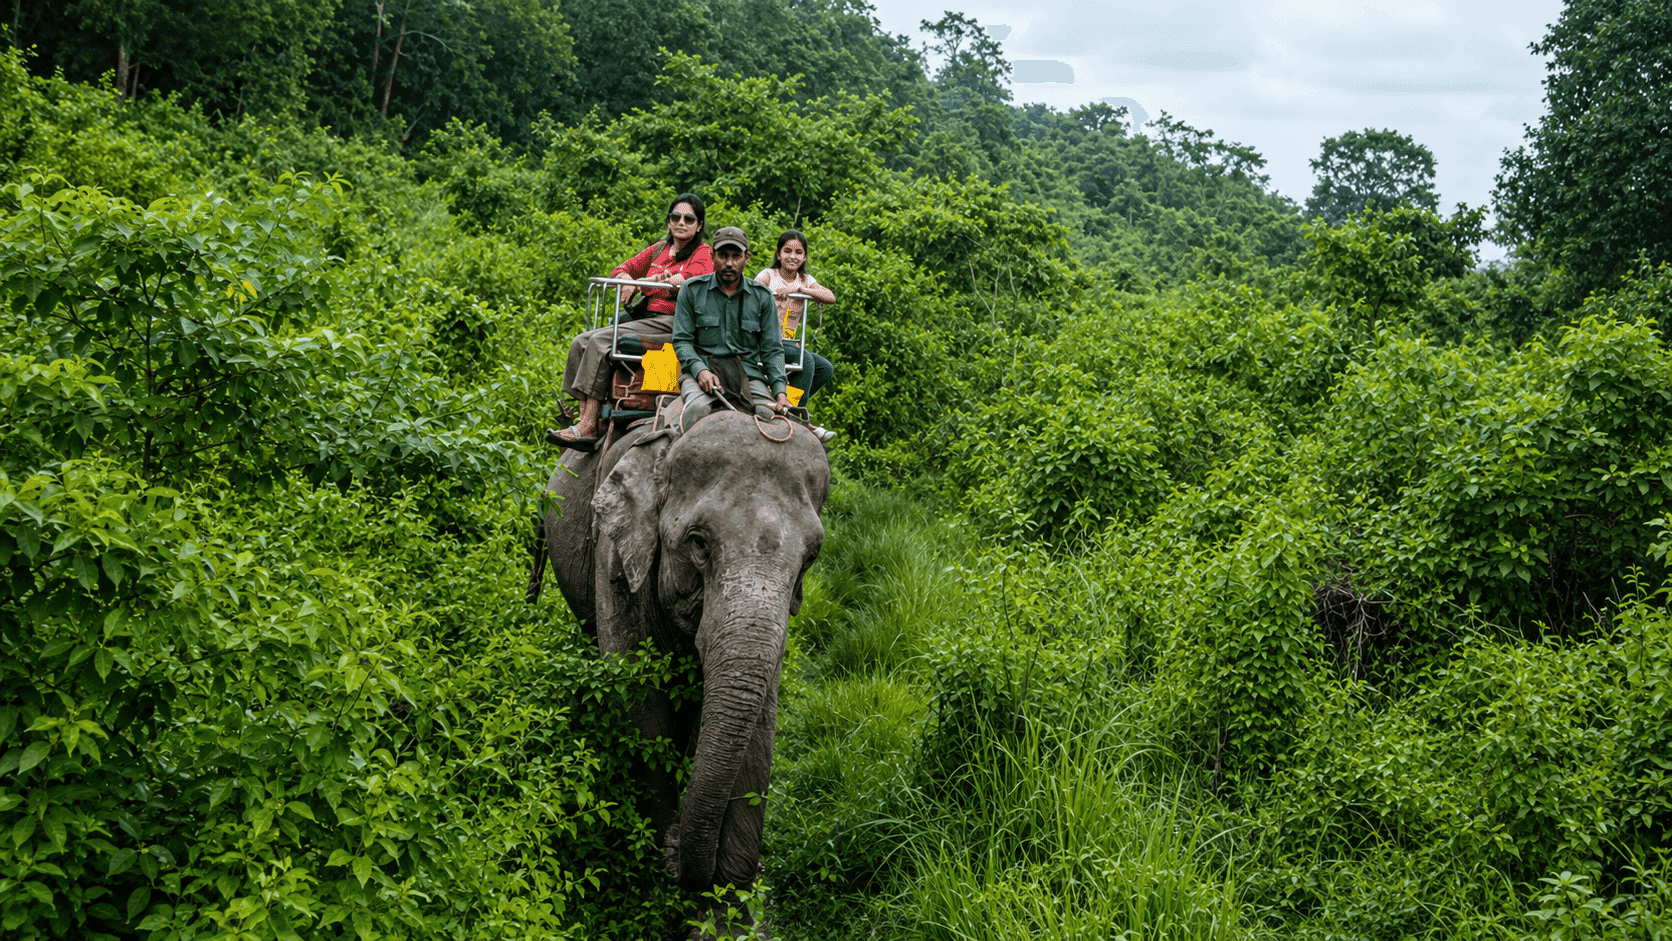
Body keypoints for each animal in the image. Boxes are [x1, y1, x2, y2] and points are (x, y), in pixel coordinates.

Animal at [528, 398, 829, 937]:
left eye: (811, 557)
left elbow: (759, 726)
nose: (674, 855)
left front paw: (727, 919)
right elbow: (640, 703)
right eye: (699, 543)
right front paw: (659, 883)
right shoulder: (615, 554)